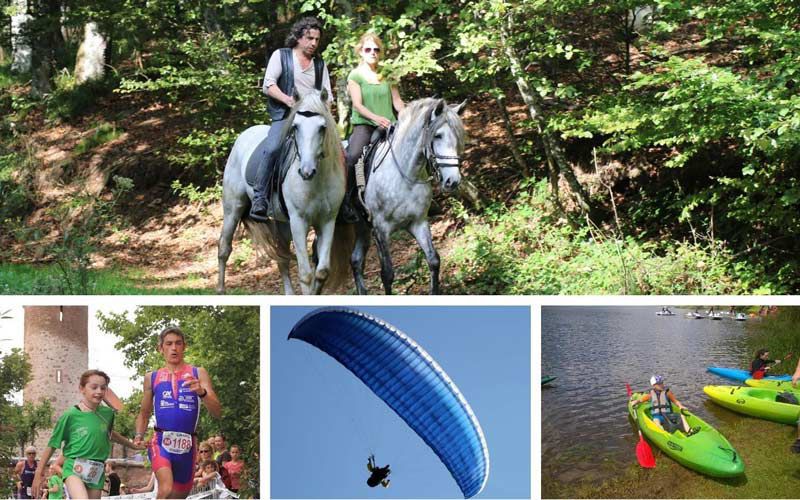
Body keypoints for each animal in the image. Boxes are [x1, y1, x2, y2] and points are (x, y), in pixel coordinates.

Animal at [216, 90, 350, 294]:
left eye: (322, 128)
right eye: (295, 127)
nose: (306, 171)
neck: (317, 182)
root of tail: (244, 135)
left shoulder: (327, 221)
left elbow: (321, 272)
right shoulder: (299, 221)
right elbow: (305, 274)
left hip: (282, 222)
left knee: (283, 259)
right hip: (233, 209)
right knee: (224, 248)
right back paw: (221, 290)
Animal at [352, 97, 468, 292]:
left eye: (458, 137)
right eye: (438, 135)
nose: (452, 181)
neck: (406, 175)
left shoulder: (418, 222)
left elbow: (434, 261)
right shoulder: (380, 230)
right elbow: (387, 275)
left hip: (360, 228)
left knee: (355, 261)